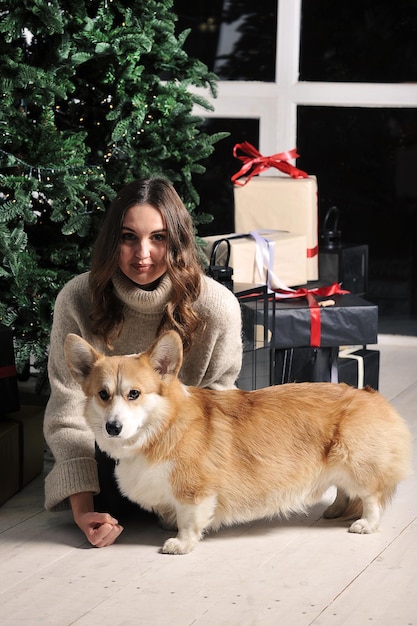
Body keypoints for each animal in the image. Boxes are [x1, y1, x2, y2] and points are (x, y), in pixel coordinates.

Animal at [63, 330, 412, 552]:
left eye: (134, 394)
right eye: (103, 394)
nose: (112, 427)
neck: (162, 429)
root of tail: (371, 394)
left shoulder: (195, 491)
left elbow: (189, 519)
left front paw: (180, 543)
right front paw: (168, 524)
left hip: (355, 461)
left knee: (370, 497)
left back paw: (365, 524)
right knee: (343, 489)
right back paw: (336, 510)